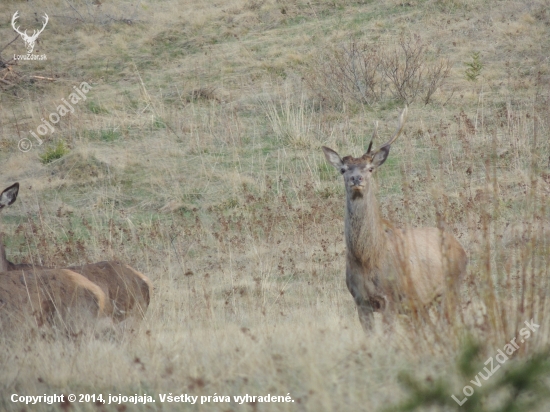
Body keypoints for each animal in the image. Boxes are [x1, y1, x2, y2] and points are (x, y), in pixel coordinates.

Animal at [324, 107, 470, 332]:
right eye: (343, 169)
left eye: (370, 168)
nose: (356, 179)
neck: (367, 258)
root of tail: (461, 247)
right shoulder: (360, 300)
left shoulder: (389, 298)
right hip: (421, 302)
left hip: (451, 287)